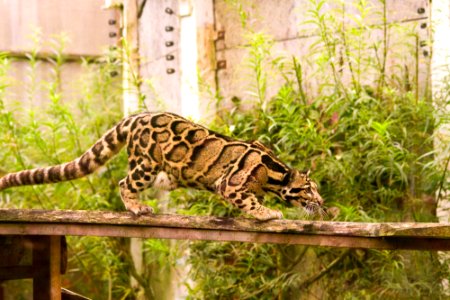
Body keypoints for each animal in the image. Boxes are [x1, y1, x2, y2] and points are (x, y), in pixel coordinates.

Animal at [0, 112, 324, 220]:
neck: (275, 172)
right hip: (146, 164)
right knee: (124, 183)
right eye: (308, 189)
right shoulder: (230, 184)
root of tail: (134, 117)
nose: (322, 203)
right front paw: (267, 212)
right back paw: (136, 207)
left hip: (159, 171)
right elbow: (249, 201)